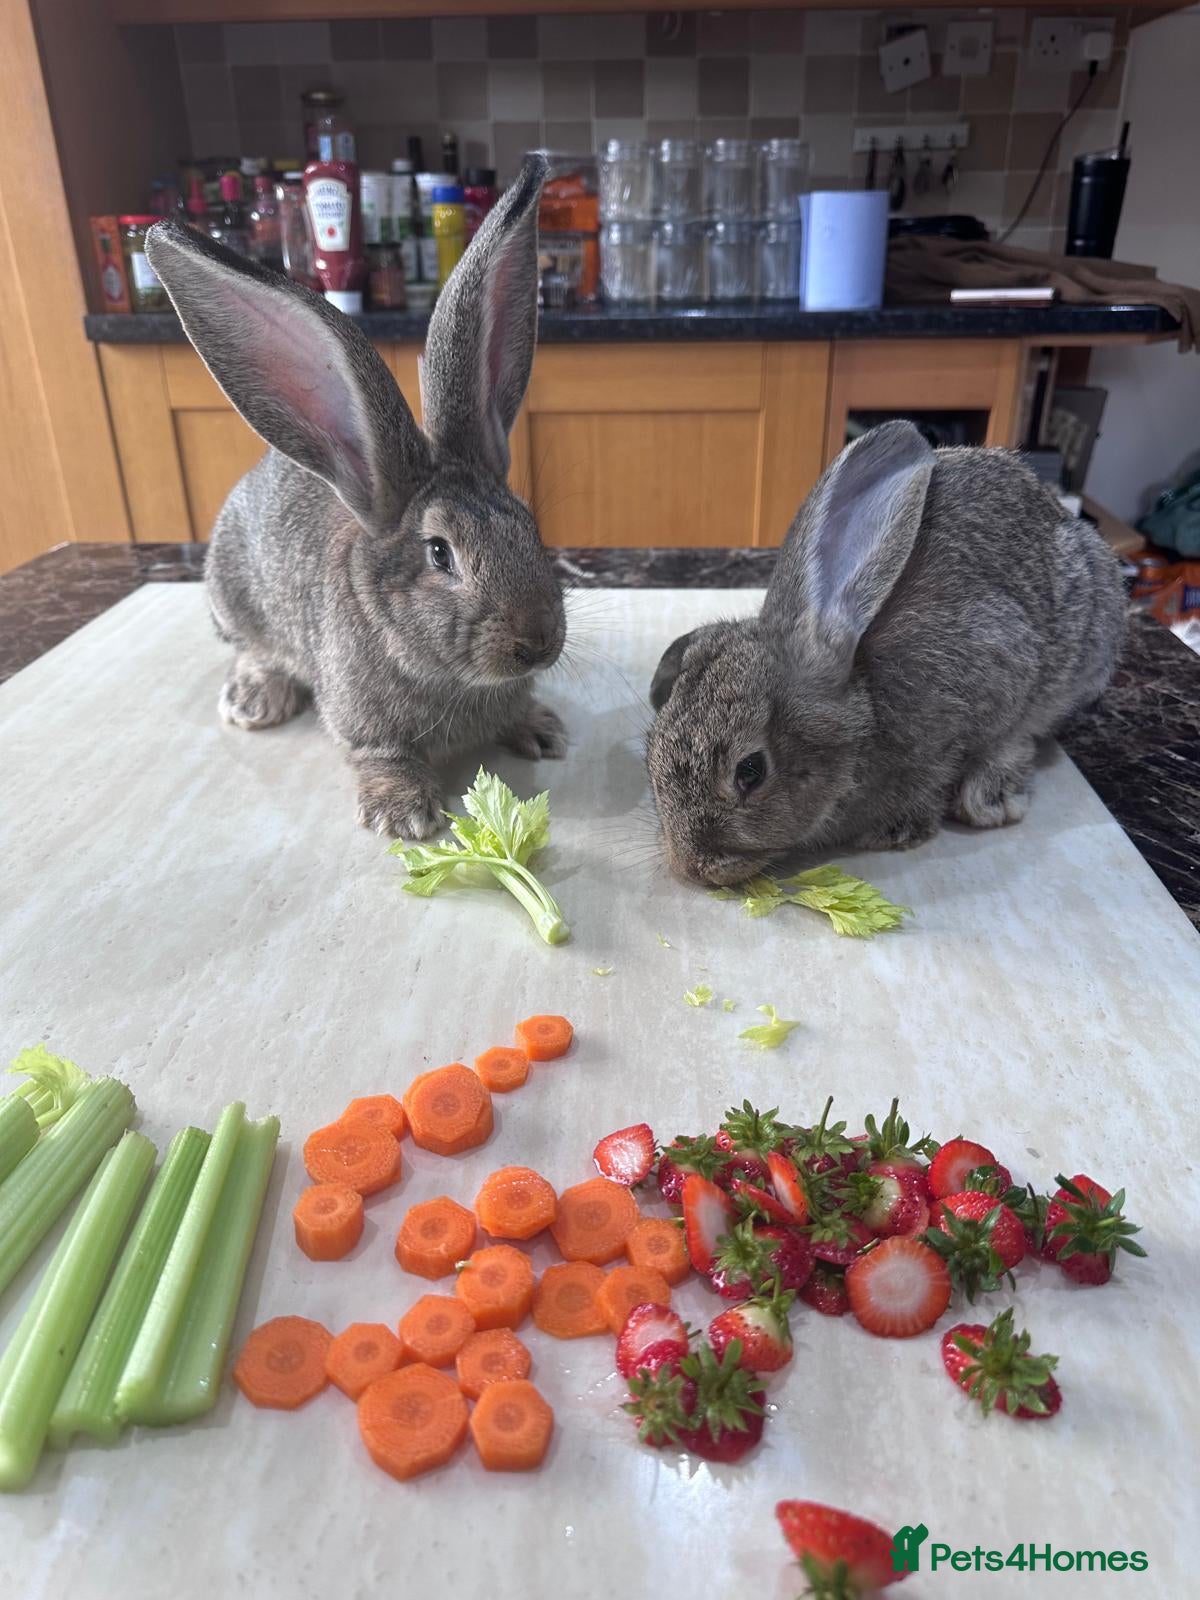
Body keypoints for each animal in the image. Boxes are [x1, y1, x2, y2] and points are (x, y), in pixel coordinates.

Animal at [144, 152, 566, 840]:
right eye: (440, 554)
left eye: (528, 526)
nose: (538, 642)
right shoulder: (364, 720)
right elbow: (380, 754)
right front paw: (404, 813)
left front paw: (541, 729)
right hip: (232, 600)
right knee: (251, 650)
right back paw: (255, 699)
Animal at [646, 419, 1125, 886]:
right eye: (651, 750)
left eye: (750, 771)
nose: (693, 866)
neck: (869, 711)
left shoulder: (986, 690)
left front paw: (899, 830)